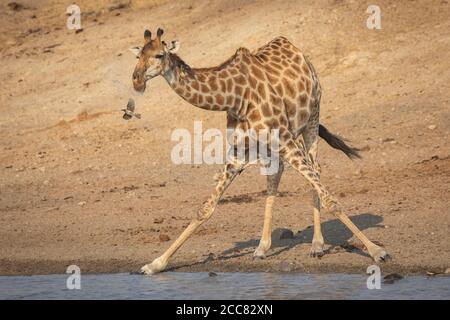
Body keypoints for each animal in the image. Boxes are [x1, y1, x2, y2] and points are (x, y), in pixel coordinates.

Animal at [130, 28, 390, 276]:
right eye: (137, 55)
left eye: (159, 55)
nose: (136, 80)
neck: (234, 98)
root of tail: (296, 49)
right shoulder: (238, 153)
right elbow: (205, 209)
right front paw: (154, 264)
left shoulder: (285, 139)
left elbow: (331, 200)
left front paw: (377, 251)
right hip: (274, 145)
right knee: (277, 177)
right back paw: (263, 248)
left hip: (312, 118)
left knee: (315, 170)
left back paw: (317, 245)